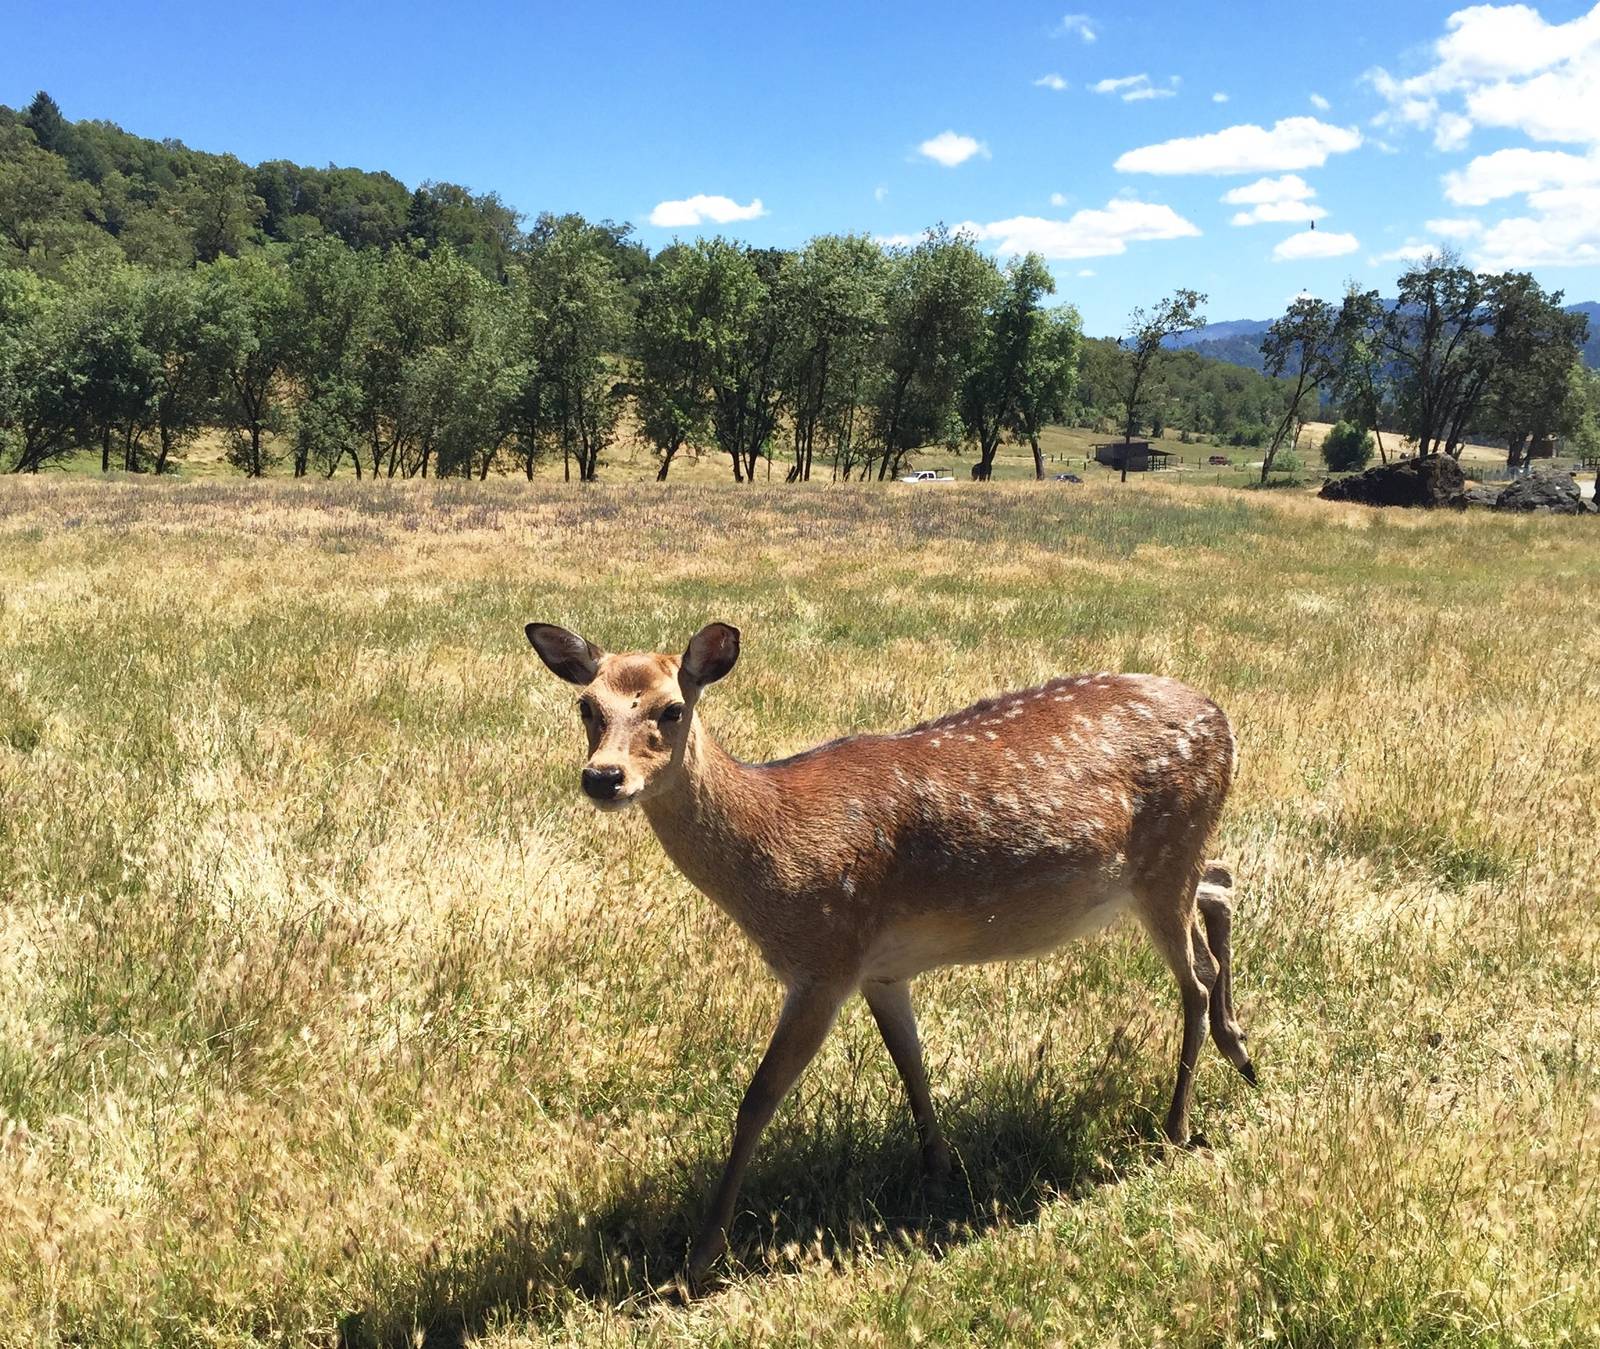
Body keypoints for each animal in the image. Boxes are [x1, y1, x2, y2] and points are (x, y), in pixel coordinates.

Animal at [525, 620, 1255, 1286]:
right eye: (587, 705)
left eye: (672, 707)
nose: (603, 777)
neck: (773, 845)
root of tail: (1223, 720)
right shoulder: (881, 969)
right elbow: (911, 1066)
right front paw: (939, 1172)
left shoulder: (827, 957)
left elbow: (759, 1097)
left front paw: (701, 1256)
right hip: (1165, 866)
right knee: (1221, 886)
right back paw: (1240, 1052)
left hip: (1164, 856)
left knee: (1195, 974)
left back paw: (1175, 1124)